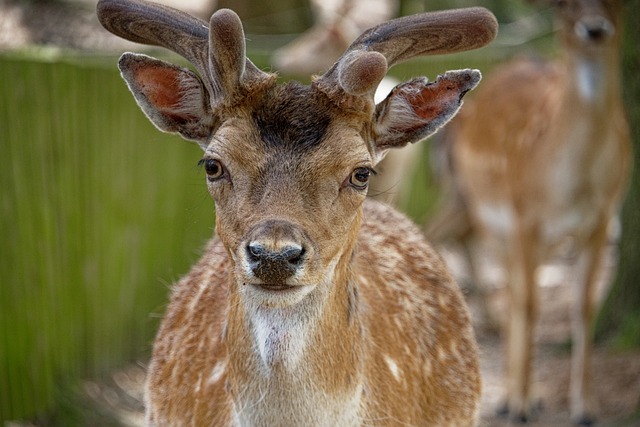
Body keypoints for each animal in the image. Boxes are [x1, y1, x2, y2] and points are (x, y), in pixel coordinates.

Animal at [424, 0, 632, 422]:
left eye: (615, 3)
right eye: (565, 6)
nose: (594, 29)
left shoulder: (602, 218)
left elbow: (583, 306)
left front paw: (585, 407)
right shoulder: (523, 215)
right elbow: (531, 304)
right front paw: (518, 404)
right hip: (477, 203)